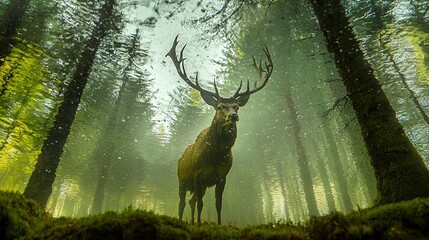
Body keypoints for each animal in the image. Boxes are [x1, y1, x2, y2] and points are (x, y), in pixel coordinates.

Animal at [166, 36, 272, 225]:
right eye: (220, 107)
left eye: (236, 107)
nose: (233, 116)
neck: (214, 156)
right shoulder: (198, 175)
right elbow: (201, 204)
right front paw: (199, 224)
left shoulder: (222, 177)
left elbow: (218, 204)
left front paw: (218, 224)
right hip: (181, 180)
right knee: (182, 203)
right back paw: (184, 220)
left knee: (192, 201)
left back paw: (192, 221)